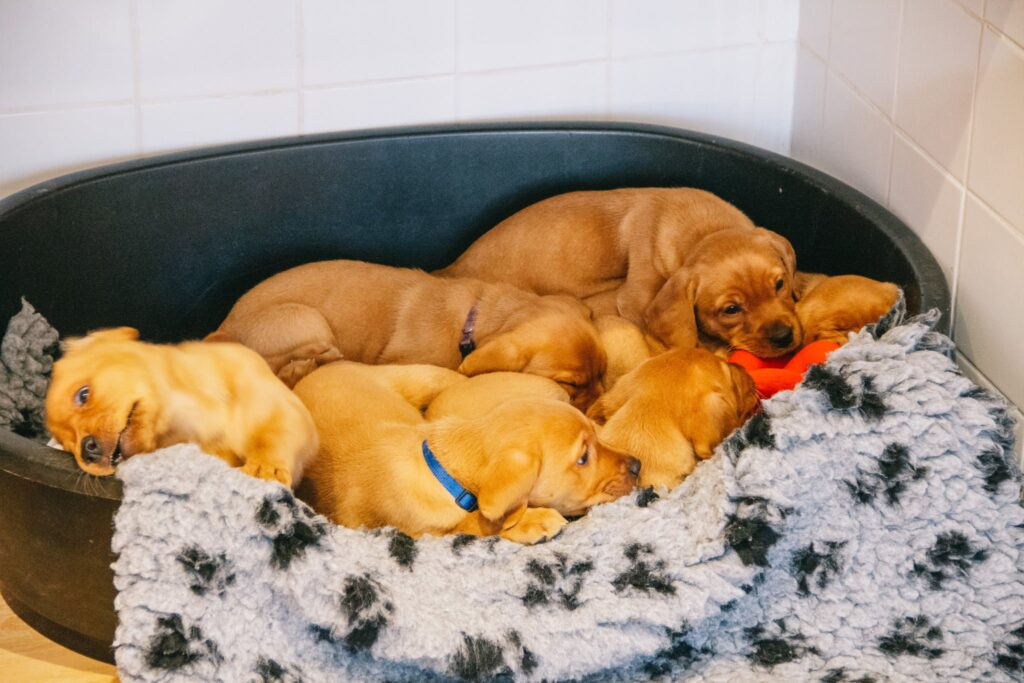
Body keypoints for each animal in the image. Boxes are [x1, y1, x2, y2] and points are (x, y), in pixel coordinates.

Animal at [45, 327, 315, 489]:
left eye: (83, 395)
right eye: (67, 446)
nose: (86, 451)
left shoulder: (286, 410)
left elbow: (272, 436)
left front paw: (264, 467)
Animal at [210, 259, 602, 409]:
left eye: (602, 374)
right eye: (569, 384)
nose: (598, 409)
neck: (471, 320)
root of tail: (222, 328)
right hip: (309, 320)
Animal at [292, 362, 634, 544]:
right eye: (583, 458)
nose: (637, 464)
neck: (443, 469)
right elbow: (476, 526)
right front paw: (532, 521)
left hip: (425, 377)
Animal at [436, 187, 802, 358]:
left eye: (779, 284)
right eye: (731, 309)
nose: (785, 337)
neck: (705, 230)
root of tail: (448, 268)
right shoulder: (637, 299)